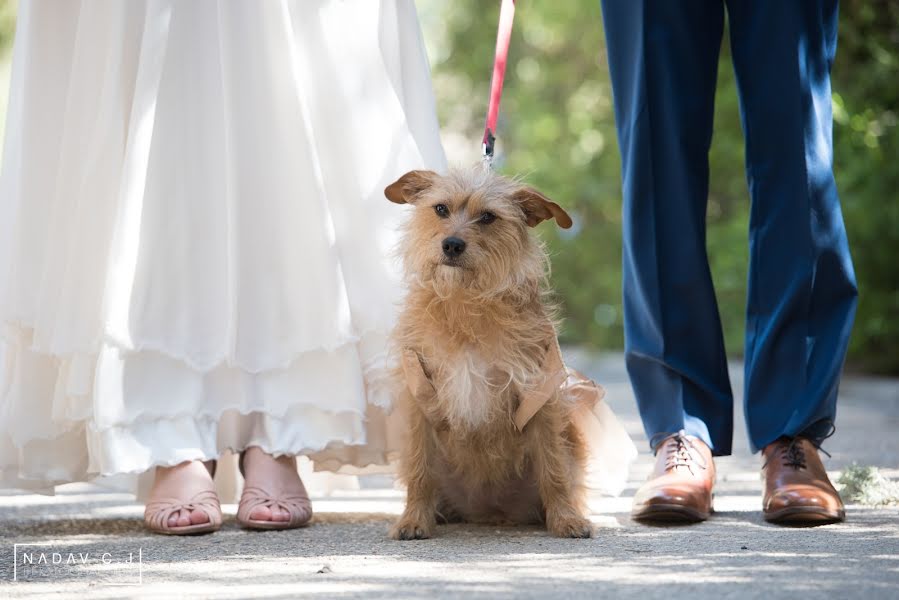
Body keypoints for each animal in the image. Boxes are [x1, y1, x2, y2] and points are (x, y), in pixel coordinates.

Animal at [384, 168, 596, 540]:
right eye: (440, 209)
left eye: (487, 217)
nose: (452, 244)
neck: (465, 303)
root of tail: (490, 513)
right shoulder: (419, 392)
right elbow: (419, 470)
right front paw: (414, 519)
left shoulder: (539, 392)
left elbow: (553, 467)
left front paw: (565, 518)